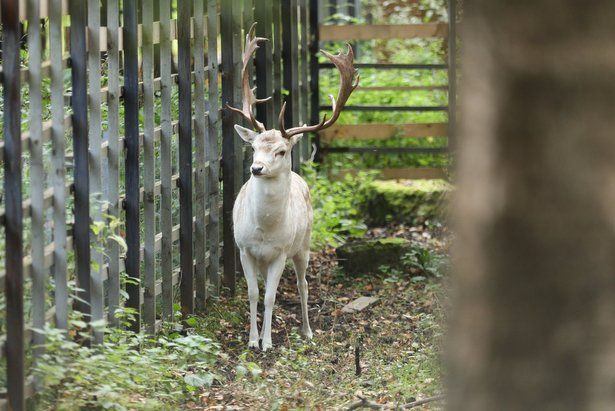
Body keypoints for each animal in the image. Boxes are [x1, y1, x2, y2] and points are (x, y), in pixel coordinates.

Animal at [229, 23, 358, 350]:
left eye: (281, 151)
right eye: (254, 148)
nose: (256, 169)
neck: (265, 230)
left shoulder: (280, 252)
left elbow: (271, 296)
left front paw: (267, 342)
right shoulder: (244, 249)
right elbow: (253, 293)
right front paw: (252, 341)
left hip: (304, 244)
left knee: (303, 284)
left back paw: (307, 330)